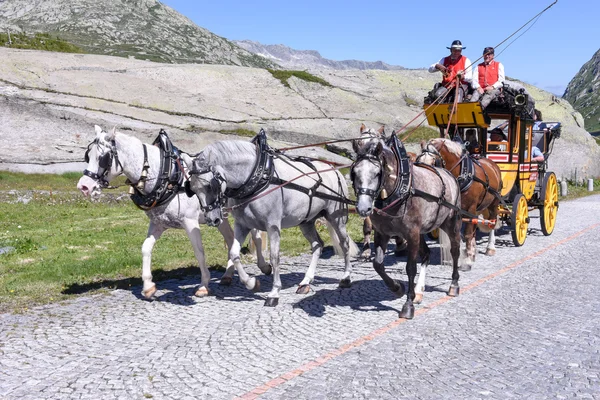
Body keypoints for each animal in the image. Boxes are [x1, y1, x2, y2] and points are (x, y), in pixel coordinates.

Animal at [77, 126, 270, 298]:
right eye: (88, 155)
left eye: (103, 158)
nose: (84, 186)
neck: (167, 175)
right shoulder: (158, 223)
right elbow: (145, 248)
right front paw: (148, 286)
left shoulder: (190, 222)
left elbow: (199, 252)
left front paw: (204, 285)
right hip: (220, 218)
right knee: (231, 239)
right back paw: (228, 275)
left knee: (256, 236)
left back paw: (264, 266)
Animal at [183, 133, 358, 308]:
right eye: (192, 189)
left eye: (210, 186)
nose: (212, 219)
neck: (258, 177)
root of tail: (334, 170)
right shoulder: (242, 225)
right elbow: (234, 253)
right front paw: (252, 283)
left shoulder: (273, 225)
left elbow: (275, 257)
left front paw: (274, 293)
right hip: (306, 221)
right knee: (317, 245)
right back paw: (305, 282)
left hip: (336, 217)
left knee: (344, 243)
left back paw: (346, 278)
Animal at [350, 126, 462, 320]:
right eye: (355, 172)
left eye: (377, 173)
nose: (364, 208)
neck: (401, 190)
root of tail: (447, 174)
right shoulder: (383, 233)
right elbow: (378, 264)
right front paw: (398, 288)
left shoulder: (412, 234)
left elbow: (410, 268)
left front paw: (408, 304)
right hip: (423, 231)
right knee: (426, 255)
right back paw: (419, 291)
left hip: (450, 222)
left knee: (455, 249)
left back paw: (454, 284)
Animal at [418, 138, 502, 272]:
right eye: (418, 161)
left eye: (434, 162)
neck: (462, 175)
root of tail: (492, 164)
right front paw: (464, 255)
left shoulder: (470, 207)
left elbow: (467, 233)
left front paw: (467, 261)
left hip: (494, 202)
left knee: (492, 222)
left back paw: (490, 247)